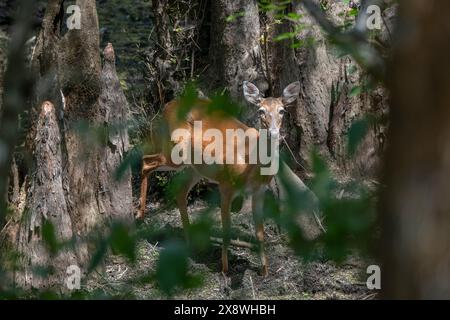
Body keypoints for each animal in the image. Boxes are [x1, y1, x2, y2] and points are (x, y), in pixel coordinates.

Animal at [136, 81, 298, 276]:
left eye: (282, 111)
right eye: (261, 110)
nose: (273, 133)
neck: (251, 165)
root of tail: (167, 106)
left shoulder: (259, 191)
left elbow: (260, 232)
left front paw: (264, 271)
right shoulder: (226, 185)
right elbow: (226, 228)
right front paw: (225, 269)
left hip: (196, 167)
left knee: (180, 191)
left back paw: (189, 240)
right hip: (174, 151)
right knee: (146, 162)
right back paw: (140, 215)